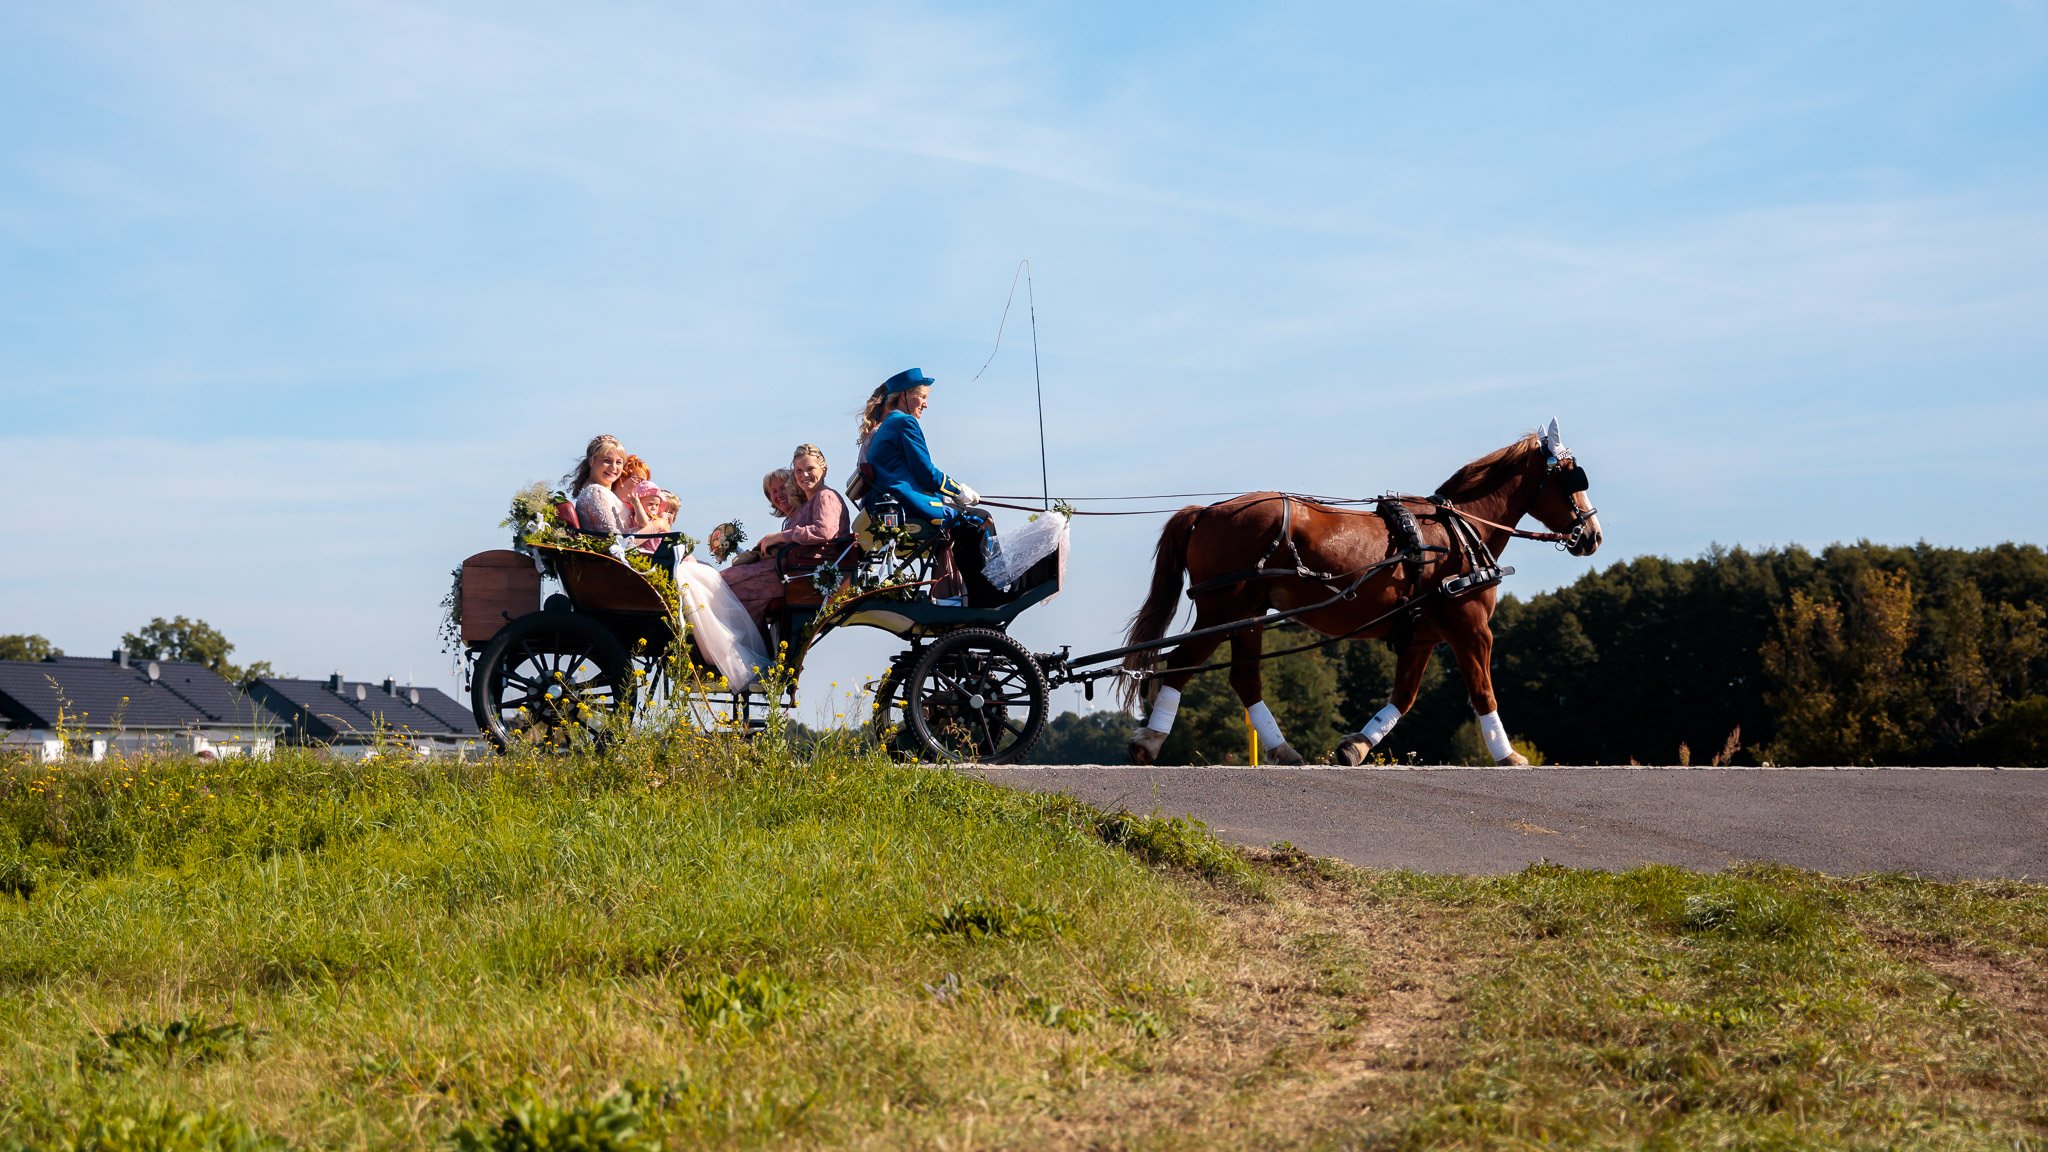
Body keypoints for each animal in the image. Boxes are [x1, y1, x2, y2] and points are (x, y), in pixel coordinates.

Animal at [1122, 422, 1597, 762]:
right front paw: (1508, 755)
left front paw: (1356, 745)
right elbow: (1483, 690)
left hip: (1249, 614)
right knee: (1180, 664)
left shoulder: (1422, 634)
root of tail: (1206, 511)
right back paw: (1150, 741)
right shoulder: (1471, 626)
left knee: (1243, 678)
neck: (1458, 531)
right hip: (1224, 609)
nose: (1593, 535)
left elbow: (1403, 697)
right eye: (1573, 479)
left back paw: (1282, 749)